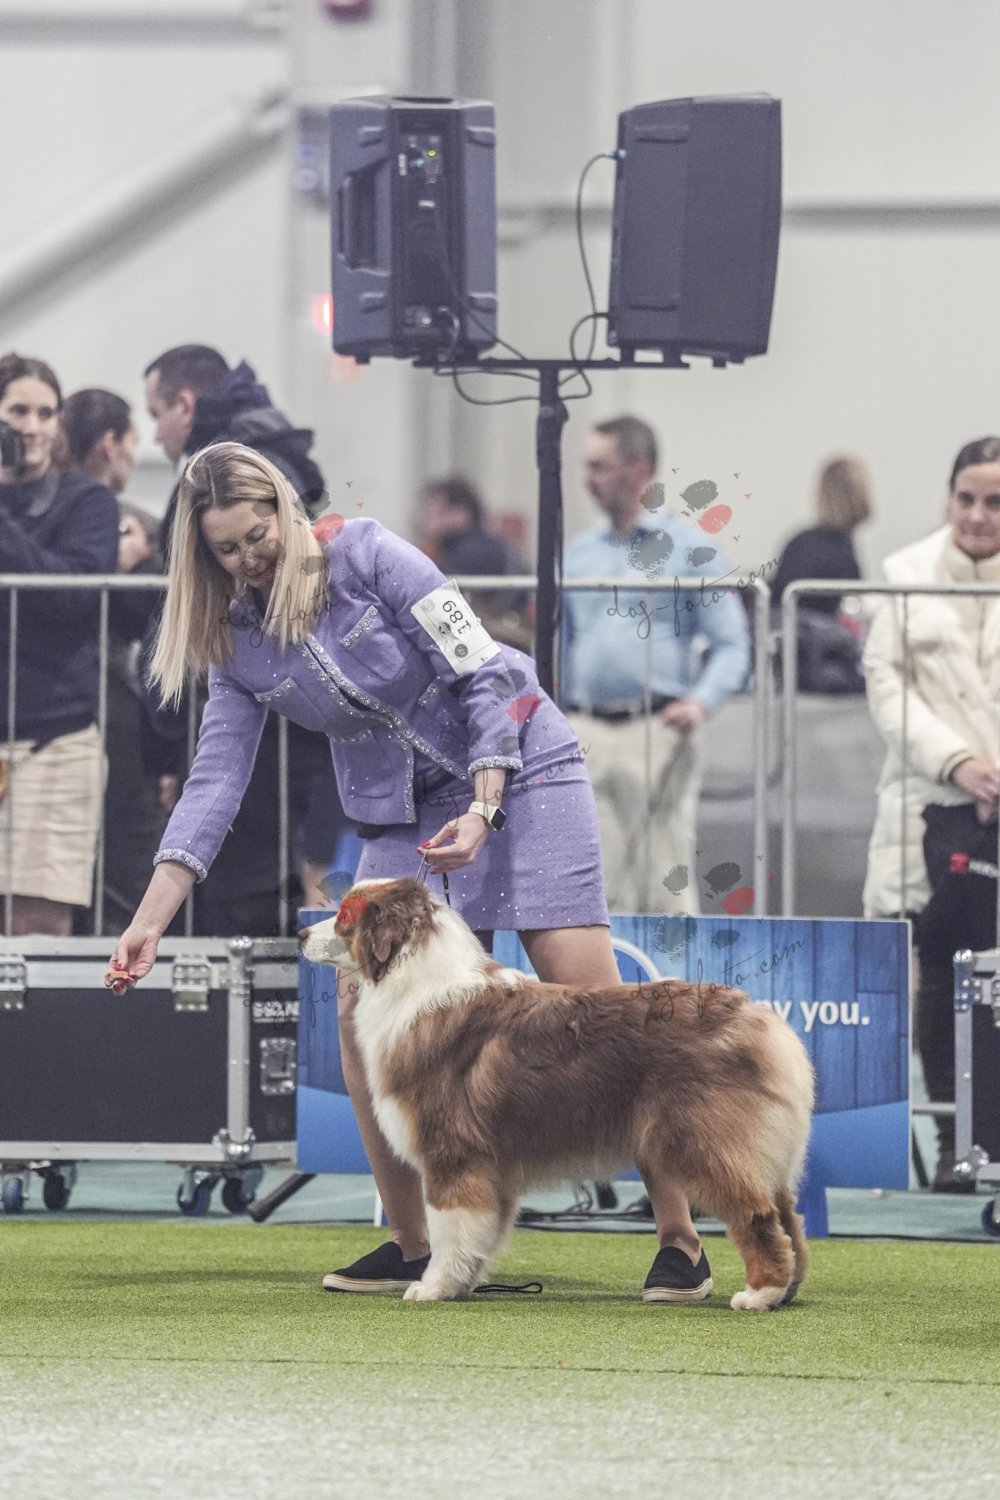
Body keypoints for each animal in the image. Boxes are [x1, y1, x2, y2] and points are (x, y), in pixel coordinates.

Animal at [302, 878, 814, 1309]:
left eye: (344, 914)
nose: (302, 931)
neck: (413, 979)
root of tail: (760, 1022)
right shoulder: (493, 1167)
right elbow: (479, 1232)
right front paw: (461, 1282)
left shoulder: (451, 1149)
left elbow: (449, 1226)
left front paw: (432, 1287)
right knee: (789, 1217)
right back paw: (788, 1288)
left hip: (699, 1139)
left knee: (756, 1213)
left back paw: (760, 1293)